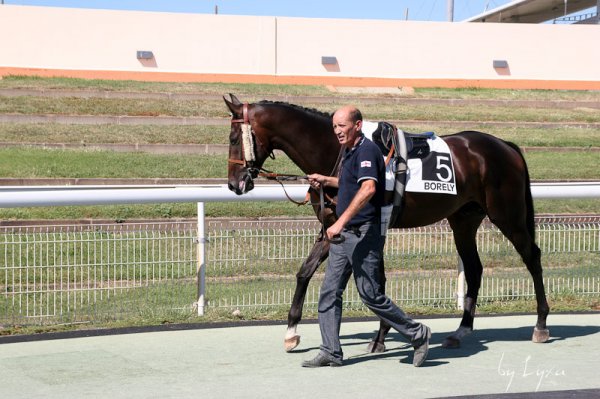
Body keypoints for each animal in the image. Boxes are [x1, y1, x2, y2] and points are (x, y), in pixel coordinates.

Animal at [224, 94, 548, 354]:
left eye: (232, 138)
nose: (234, 184)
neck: (337, 151)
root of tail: (505, 146)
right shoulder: (333, 228)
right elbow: (306, 272)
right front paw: (292, 332)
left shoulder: (363, 229)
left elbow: (374, 282)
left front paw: (381, 335)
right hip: (464, 220)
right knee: (474, 268)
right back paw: (461, 330)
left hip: (508, 215)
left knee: (532, 257)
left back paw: (541, 324)